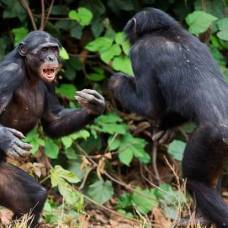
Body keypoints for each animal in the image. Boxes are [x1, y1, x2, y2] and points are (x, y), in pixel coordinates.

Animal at [0, 31, 105, 227]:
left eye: (54, 49)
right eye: (44, 50)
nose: (51, 57)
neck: (29, 73)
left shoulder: (49, 84)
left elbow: (53, 120)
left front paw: (94, 106)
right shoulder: (9, 74)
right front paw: (7, 139)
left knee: (34, 197)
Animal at [110, 7, 228, 228]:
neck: (164, 31)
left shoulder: (139, 53)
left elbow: (150, 106)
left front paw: (116, 81)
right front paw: (165, 128)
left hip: (209, 139)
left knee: (195, 180)